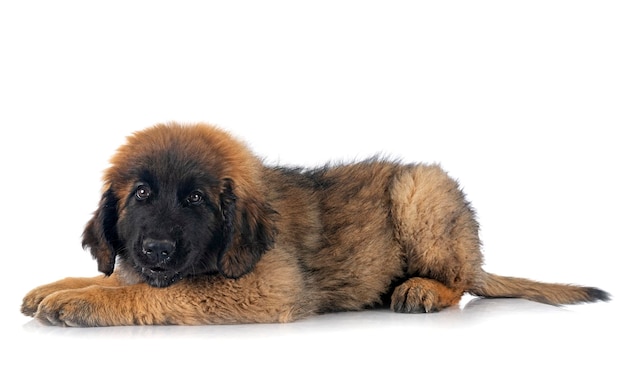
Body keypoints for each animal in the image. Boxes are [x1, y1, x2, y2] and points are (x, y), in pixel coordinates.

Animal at [22, 123, 608, 326]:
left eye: (196, 199)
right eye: (141, 194)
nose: (158, 250)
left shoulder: (265, 289)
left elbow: (155, 293)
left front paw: (81, 302)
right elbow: (116, 277)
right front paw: (56, 287)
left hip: (420, 190)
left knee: (459, 280)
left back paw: (421, 290)